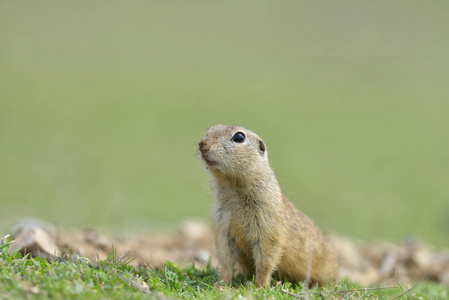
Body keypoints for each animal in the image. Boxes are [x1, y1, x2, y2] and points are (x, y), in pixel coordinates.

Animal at [198, 125, 338, 288]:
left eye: (239, 137)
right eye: (210, 129)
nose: (202, 144)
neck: (233, 185)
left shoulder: (268, 225)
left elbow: (266, 259)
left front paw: (259, 286)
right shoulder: (223, 226)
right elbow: (225, 258)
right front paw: (222, 283)